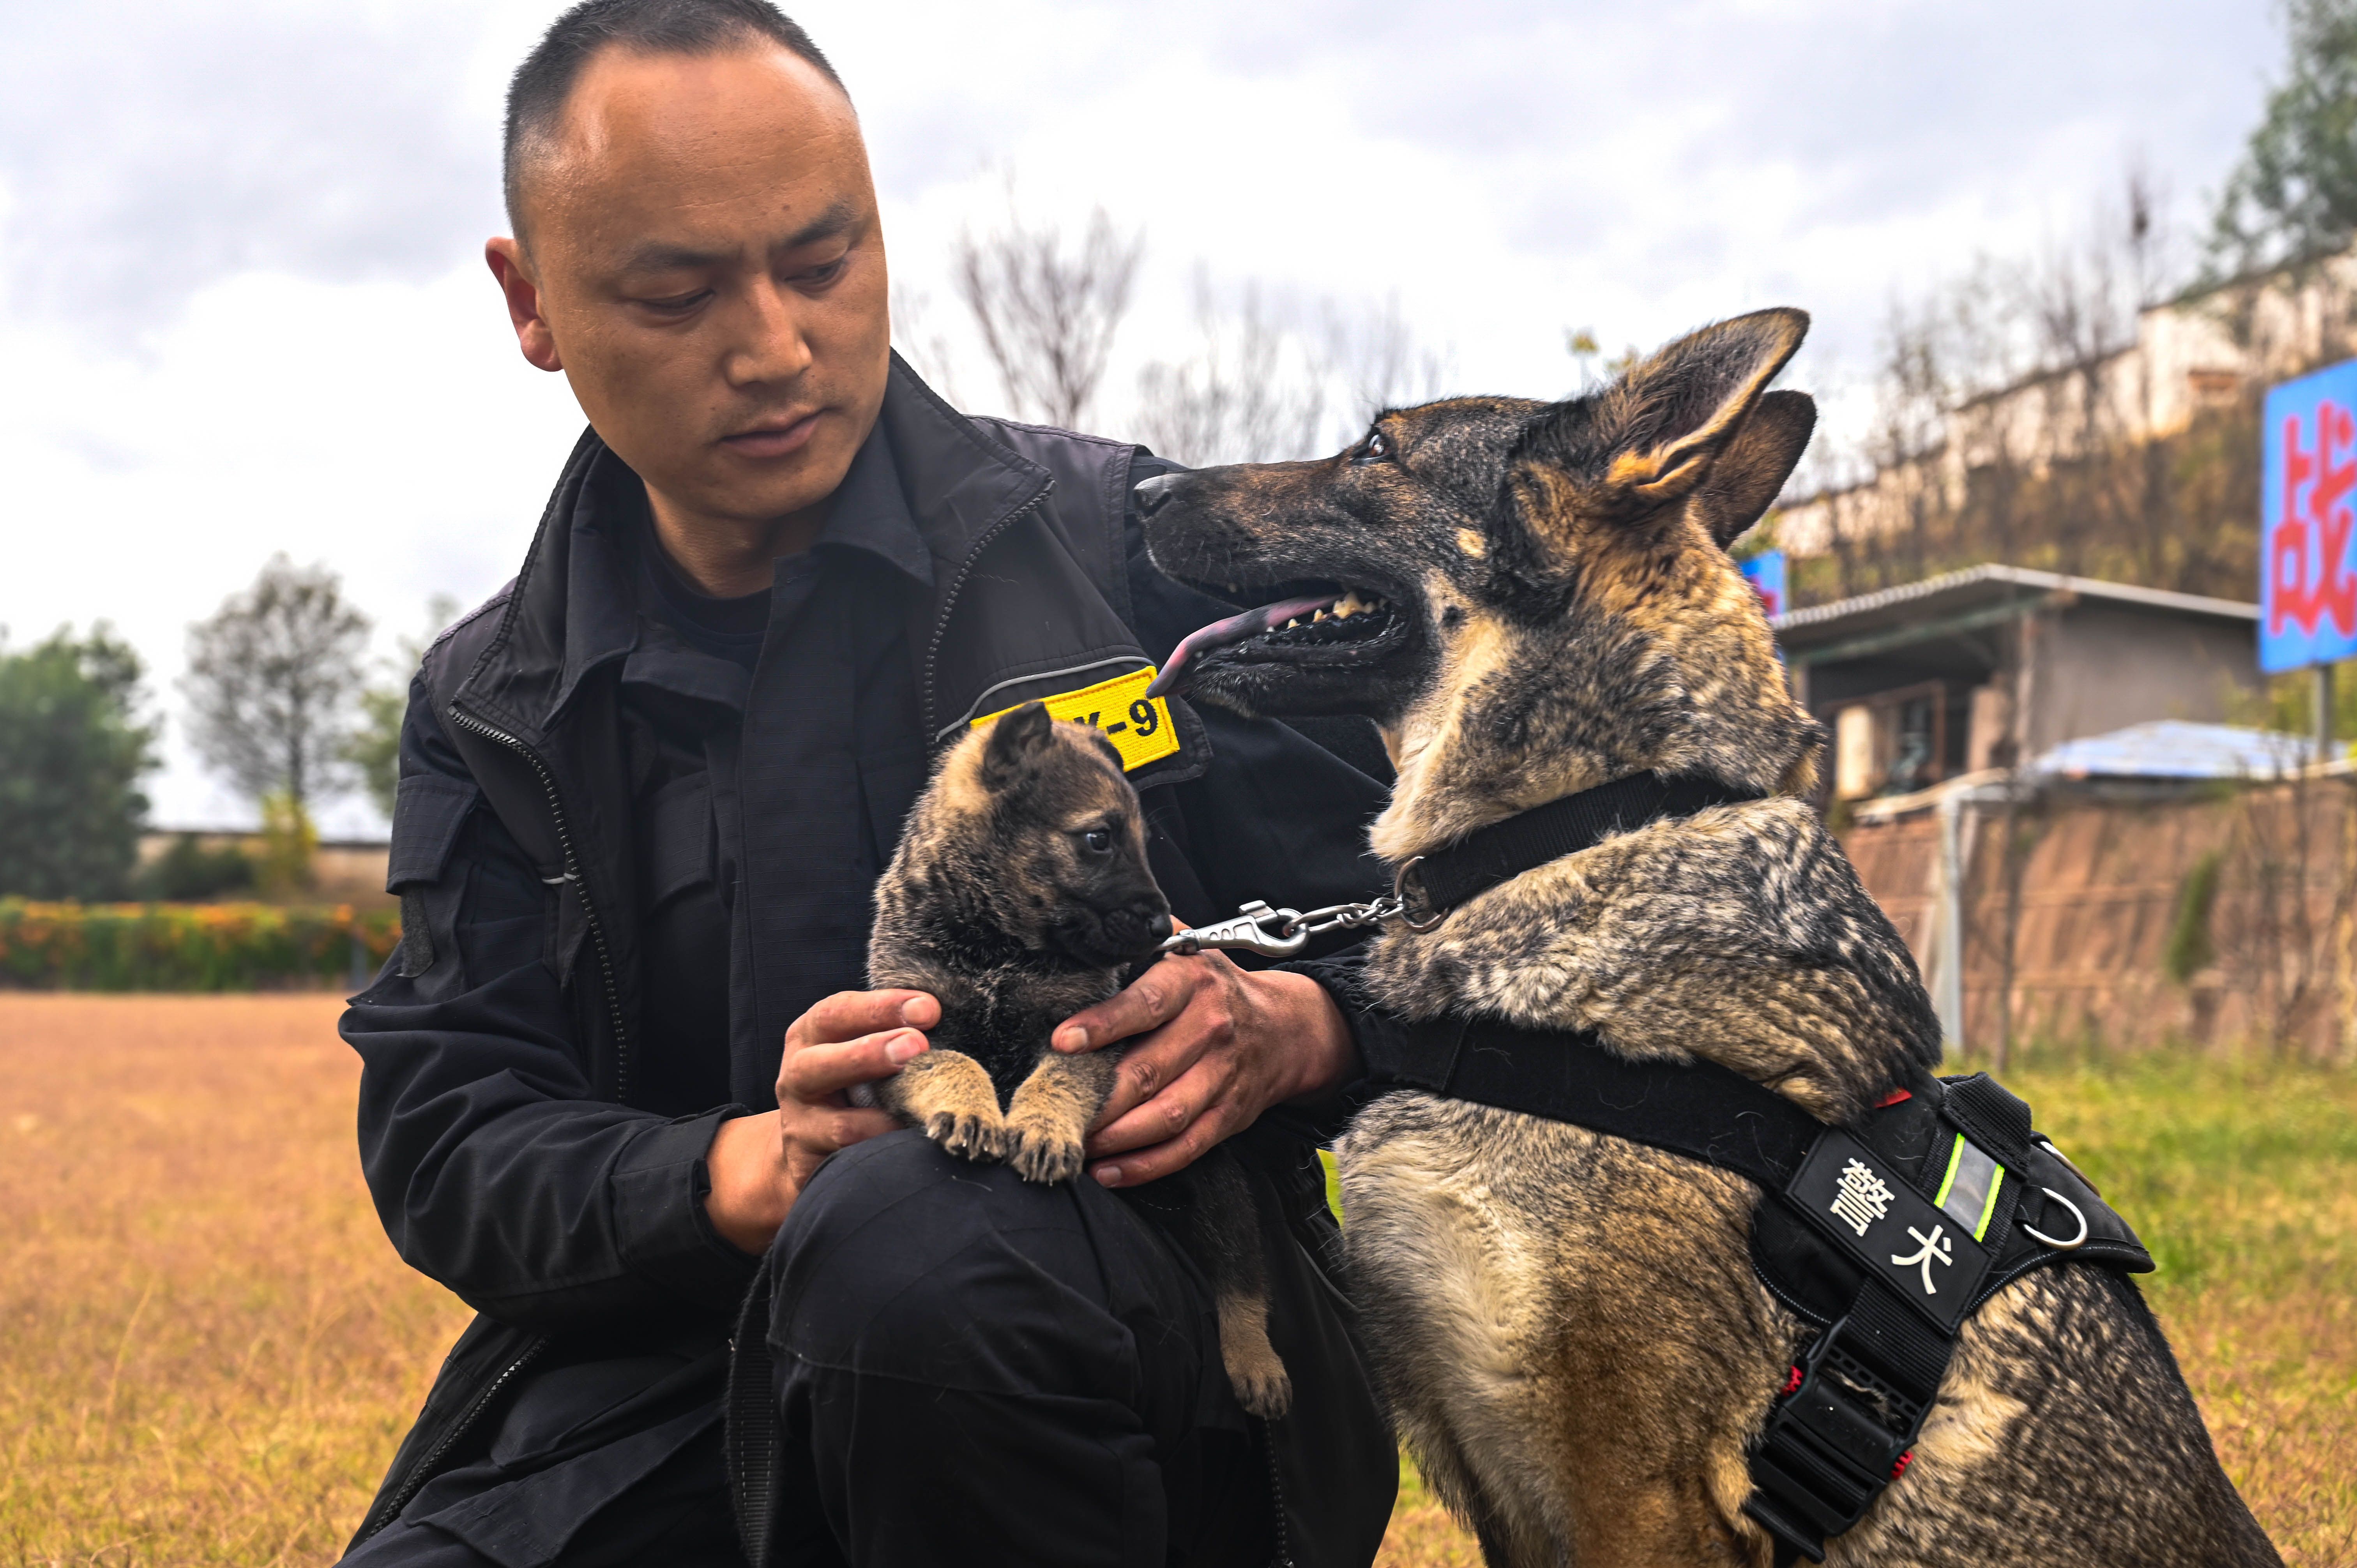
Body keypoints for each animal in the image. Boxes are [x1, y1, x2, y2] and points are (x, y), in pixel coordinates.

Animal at [867, 698, 1301, 1414]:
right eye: (1098, 839)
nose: (1159, 932)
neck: (993, 943)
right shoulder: (911, 1030)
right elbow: (958, 1064)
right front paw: (972, 1113)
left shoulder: (1082, 1031)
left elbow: (1056, 1079)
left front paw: (1042, 1130)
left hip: (1218, 1185)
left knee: (1242, 1275)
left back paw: (1254, 1360)